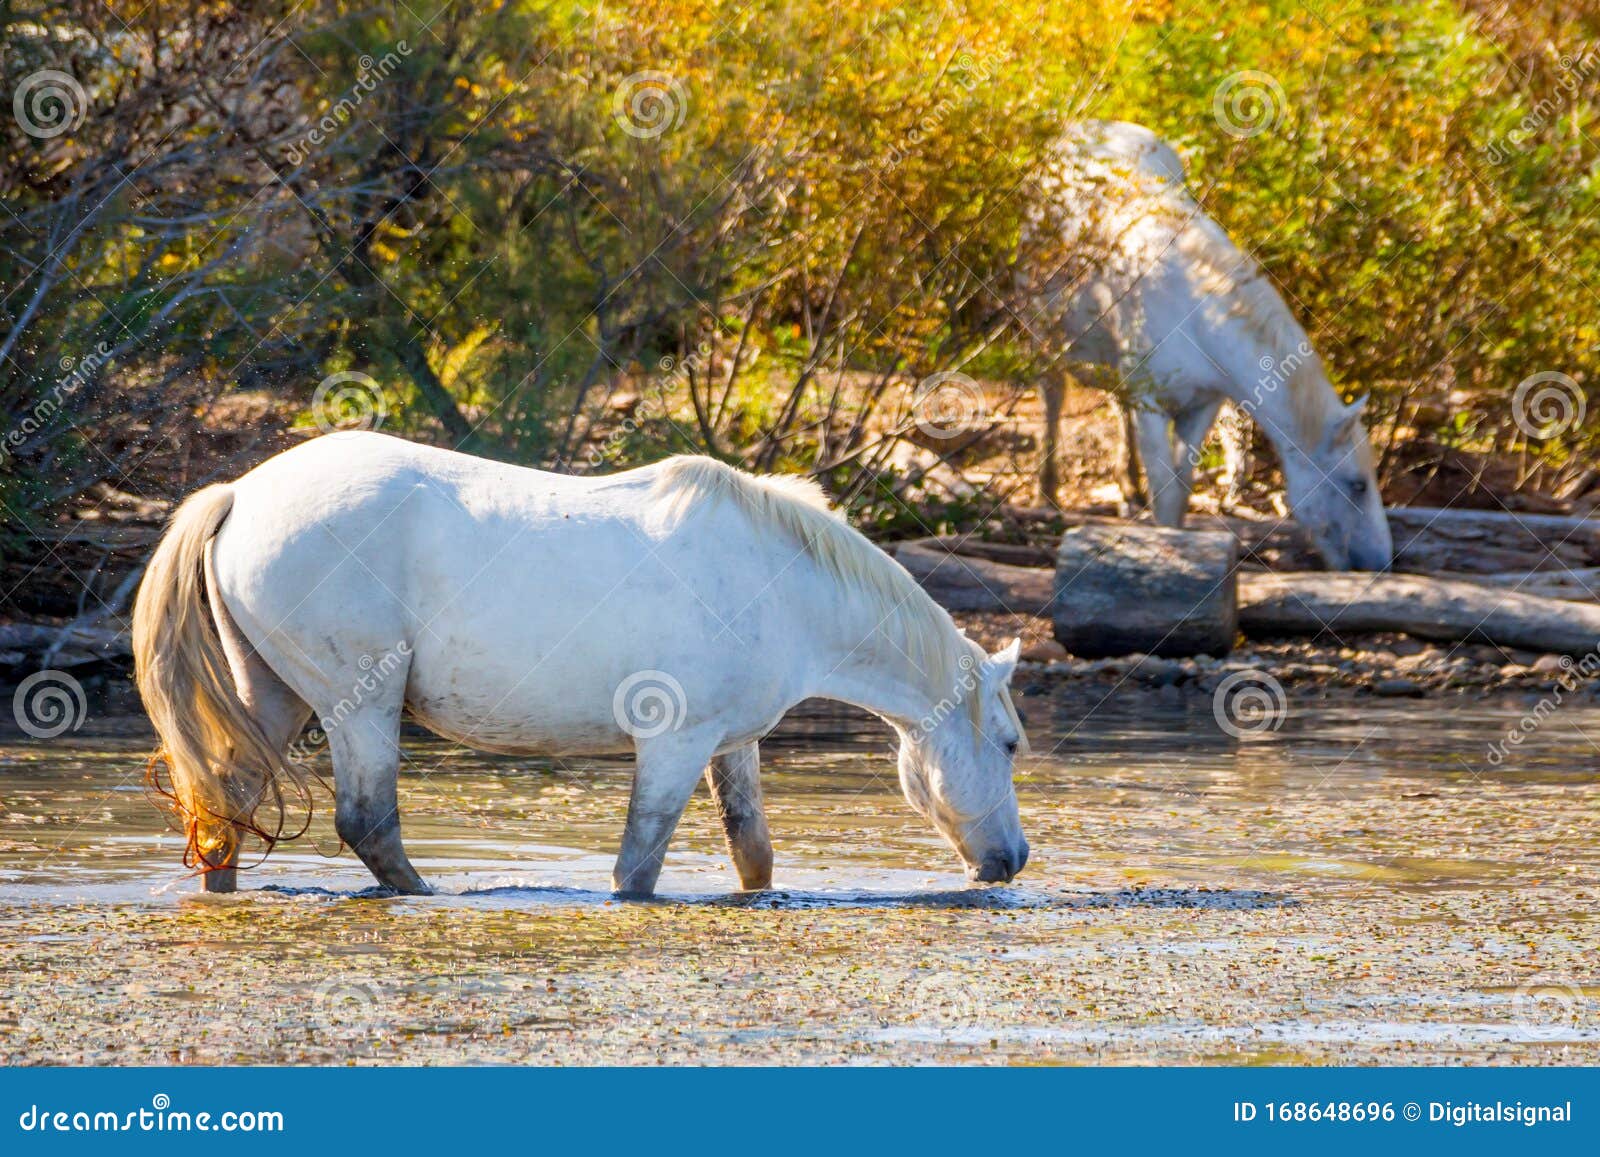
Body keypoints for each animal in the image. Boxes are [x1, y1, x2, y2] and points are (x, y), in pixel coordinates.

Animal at [131, 435, 1030, 896]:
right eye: (1012, 743)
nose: (1014, 860)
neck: (780, 583)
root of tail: (240, 493)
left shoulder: (731, 744)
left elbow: (753, 850)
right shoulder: (673, 745)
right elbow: (637, 865)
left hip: (276, 695)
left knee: (227, 805)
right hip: (360, 703)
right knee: (367, 822)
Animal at [1036, 120, 1388, 572]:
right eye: (1357, 485)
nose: (1382, 563)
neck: (1196, 312)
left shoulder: (1201, 404)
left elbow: (1180, 488)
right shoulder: (1151, 404)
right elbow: (1164, 487)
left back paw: (1127, 489)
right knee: (1052, 395)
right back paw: (1047, 494)